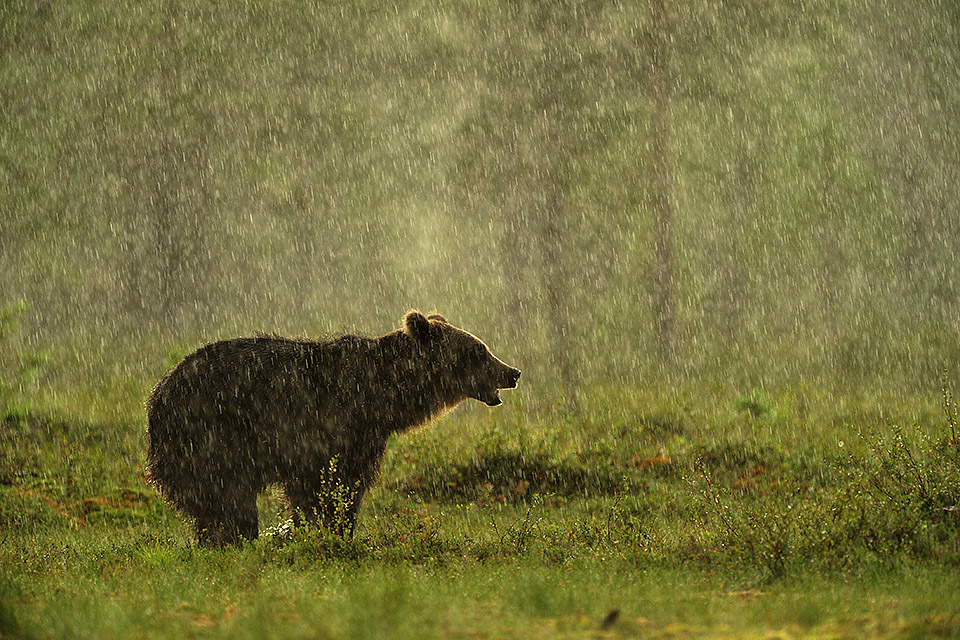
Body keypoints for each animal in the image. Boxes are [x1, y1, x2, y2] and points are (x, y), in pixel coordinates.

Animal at [144, 310, 516, 544]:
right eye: (479, 350)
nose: (513, 372)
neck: (384, 396)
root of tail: (156, 397)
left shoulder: (365, 437)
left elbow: (345, 487)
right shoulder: (324, 428)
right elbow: (327, 487)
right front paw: (326, 532)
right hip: (211, 435)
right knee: (229, 500)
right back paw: (235, 540)